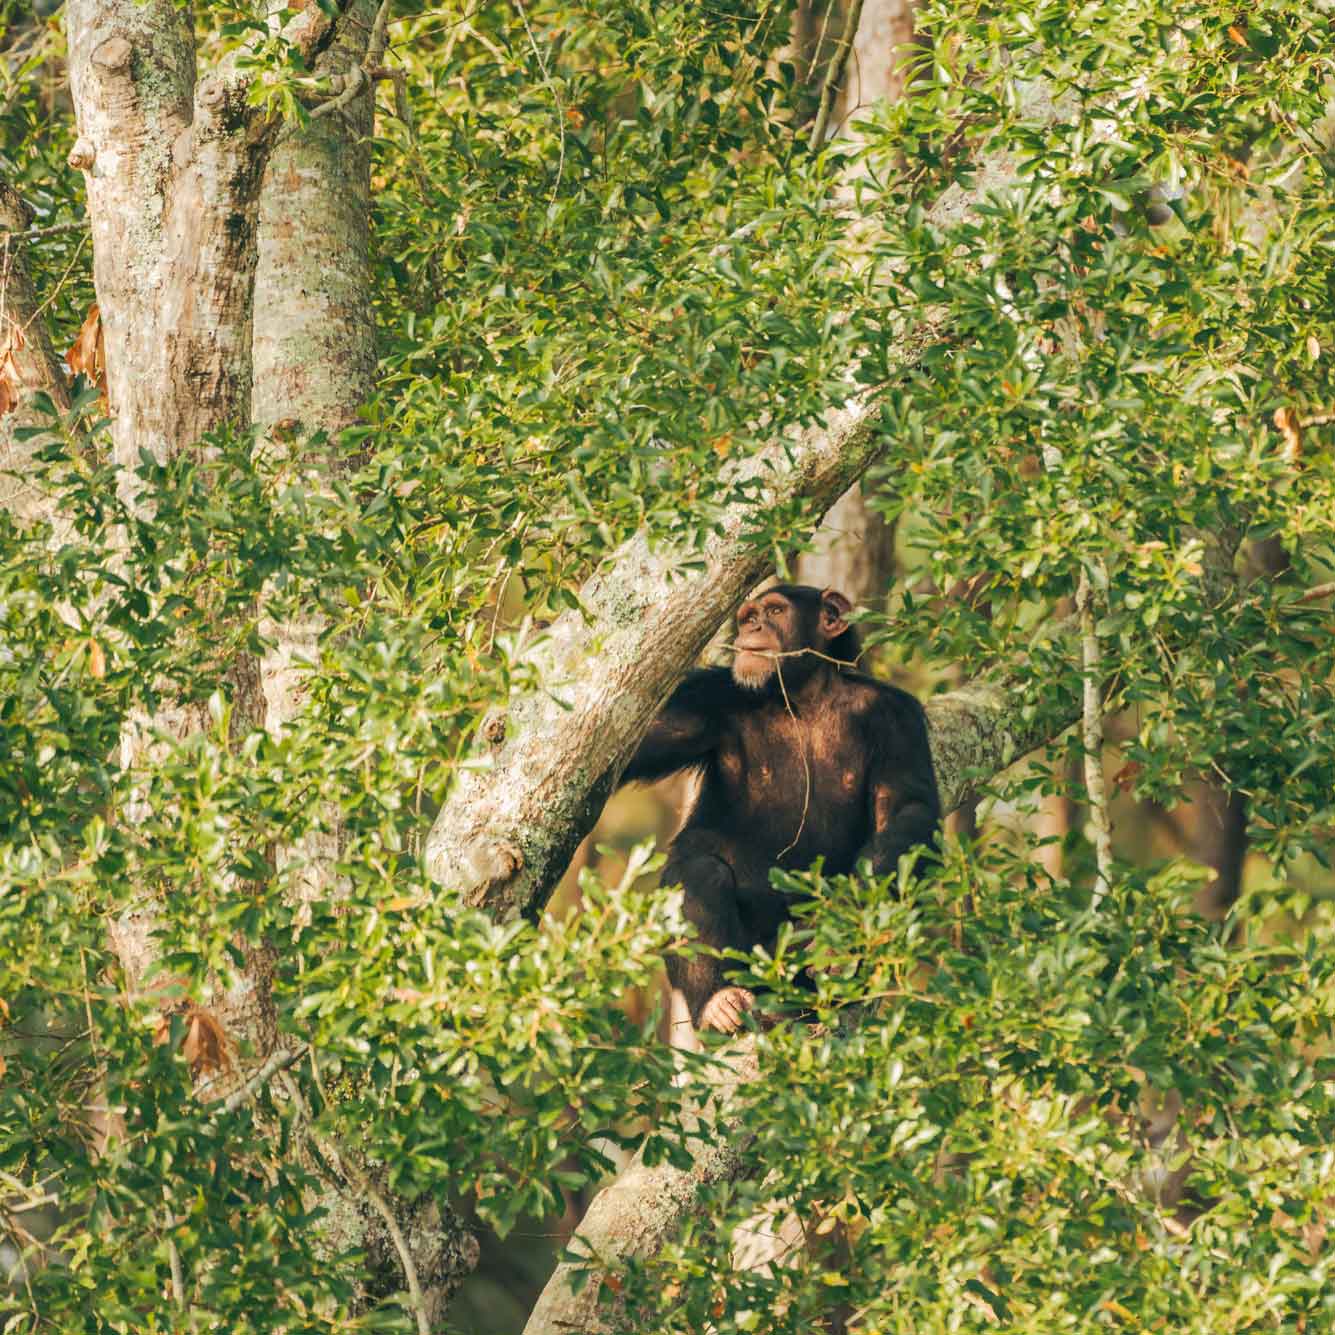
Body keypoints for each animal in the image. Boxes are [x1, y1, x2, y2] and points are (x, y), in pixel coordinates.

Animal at [616, 582, 939, 1030]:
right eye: (749, 616)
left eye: (774, 611)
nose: (752, 627)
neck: (803, 697)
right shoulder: (702, 700)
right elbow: (632, 745)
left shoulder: (897, 718)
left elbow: (906, 808)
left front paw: (845, 925)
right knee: (699, 871)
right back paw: (718, 1000)